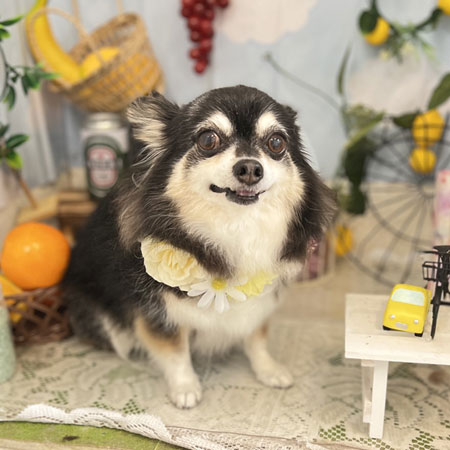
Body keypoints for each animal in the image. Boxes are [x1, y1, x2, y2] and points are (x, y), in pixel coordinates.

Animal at [63, 85, 336, 409]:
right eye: (208, 140)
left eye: (277, 142)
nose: (249, 168)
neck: (236, 229)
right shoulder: (155, 311)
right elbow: (175, 350)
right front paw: (185, 388)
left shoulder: (260, 299)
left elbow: (256, 337)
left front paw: (268, 369)